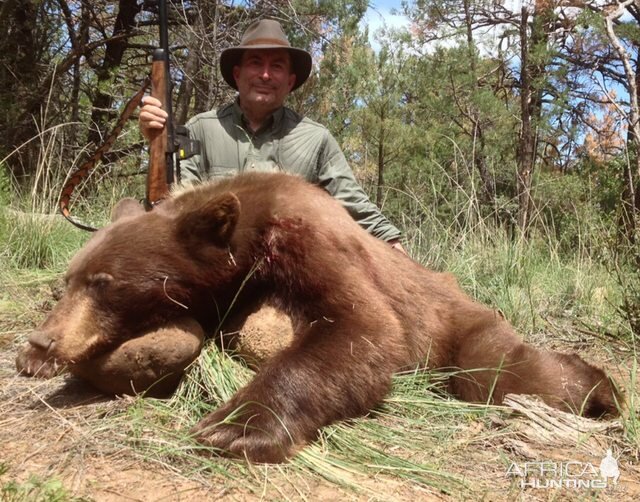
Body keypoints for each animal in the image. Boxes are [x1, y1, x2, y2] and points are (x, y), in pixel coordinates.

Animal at [16, 172, 620, 462]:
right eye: (69, 278)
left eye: (104, 283)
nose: (44, 340)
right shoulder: (216, 294)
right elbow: (182, 334)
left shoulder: (311, 243)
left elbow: (364, 330)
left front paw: (233, 428)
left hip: (458, 327)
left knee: (501, 370)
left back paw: (600, 390)